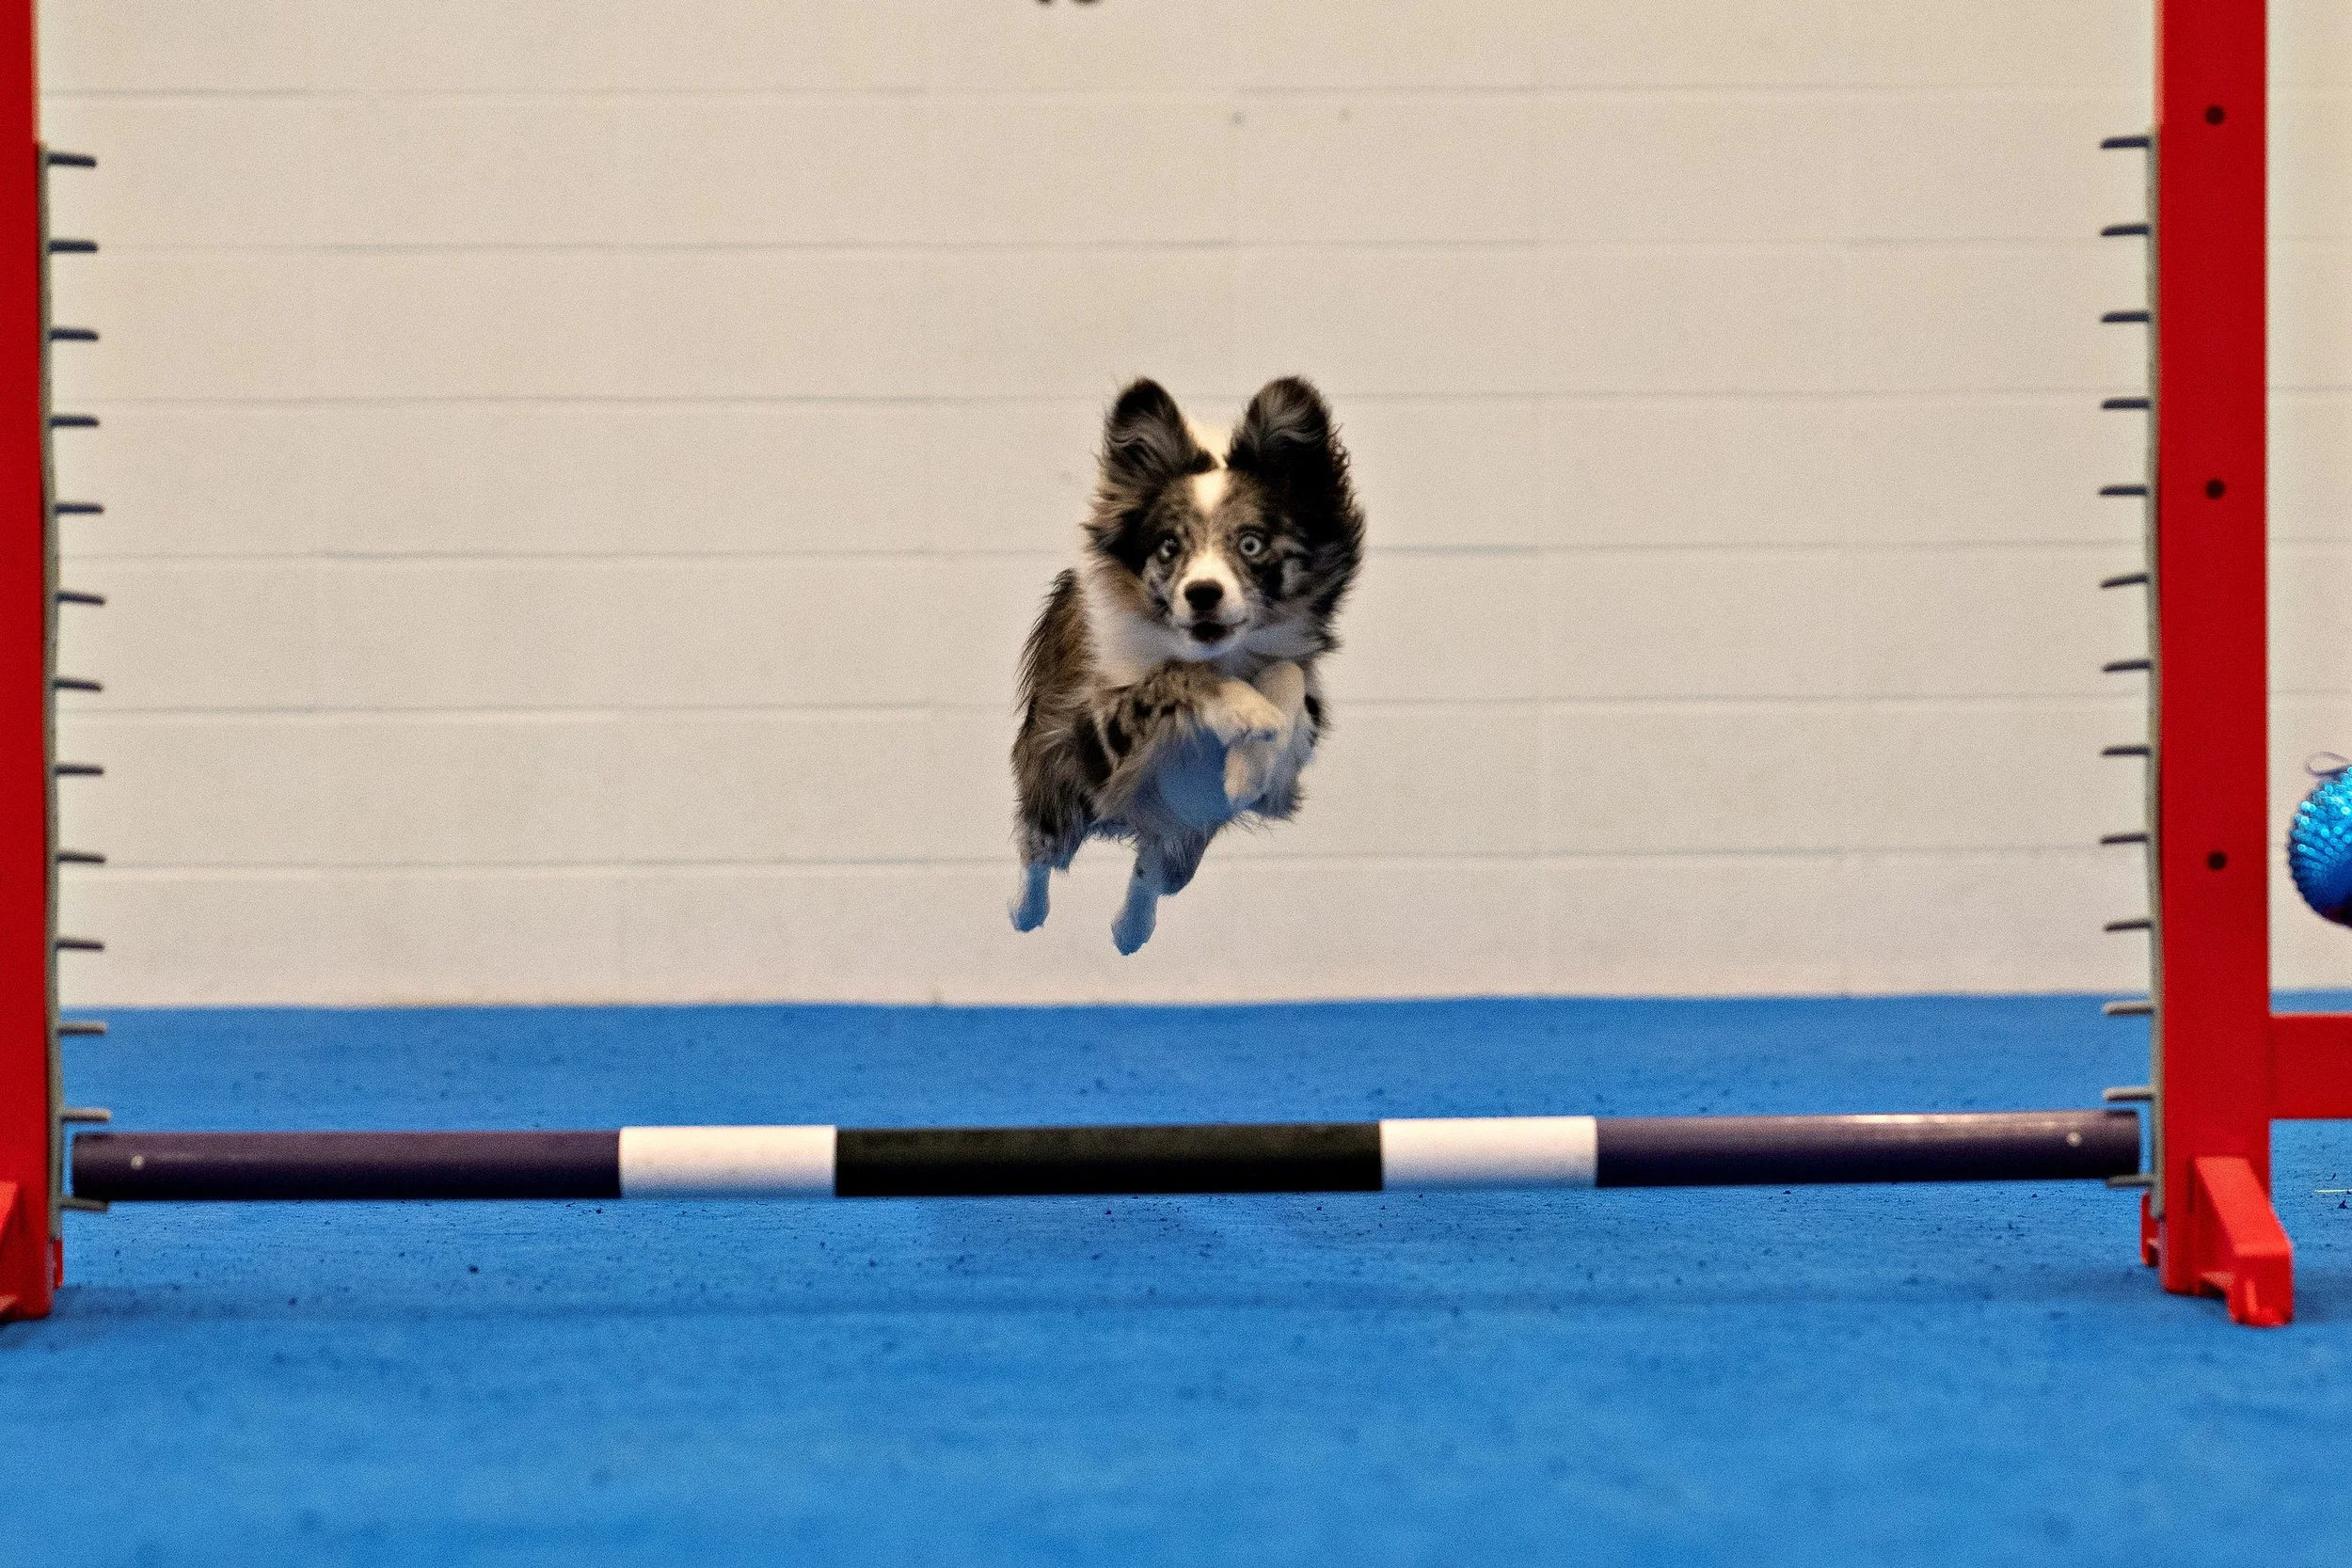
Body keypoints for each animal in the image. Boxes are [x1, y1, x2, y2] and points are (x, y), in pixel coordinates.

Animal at [1010, 375, 1364, 953]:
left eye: (1251, 544)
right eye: (1169, 547)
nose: (1202, 594)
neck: (1221, 652)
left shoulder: (1295, 736)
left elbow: (1285, 677)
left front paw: (1249, 764)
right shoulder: (1090, 730)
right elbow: (1177, 673)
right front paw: (1247, 713)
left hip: (1181, 841)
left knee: (1154, 867)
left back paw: (1129, 930)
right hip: (1063, 792)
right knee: (1041, 848)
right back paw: (1026, 911)